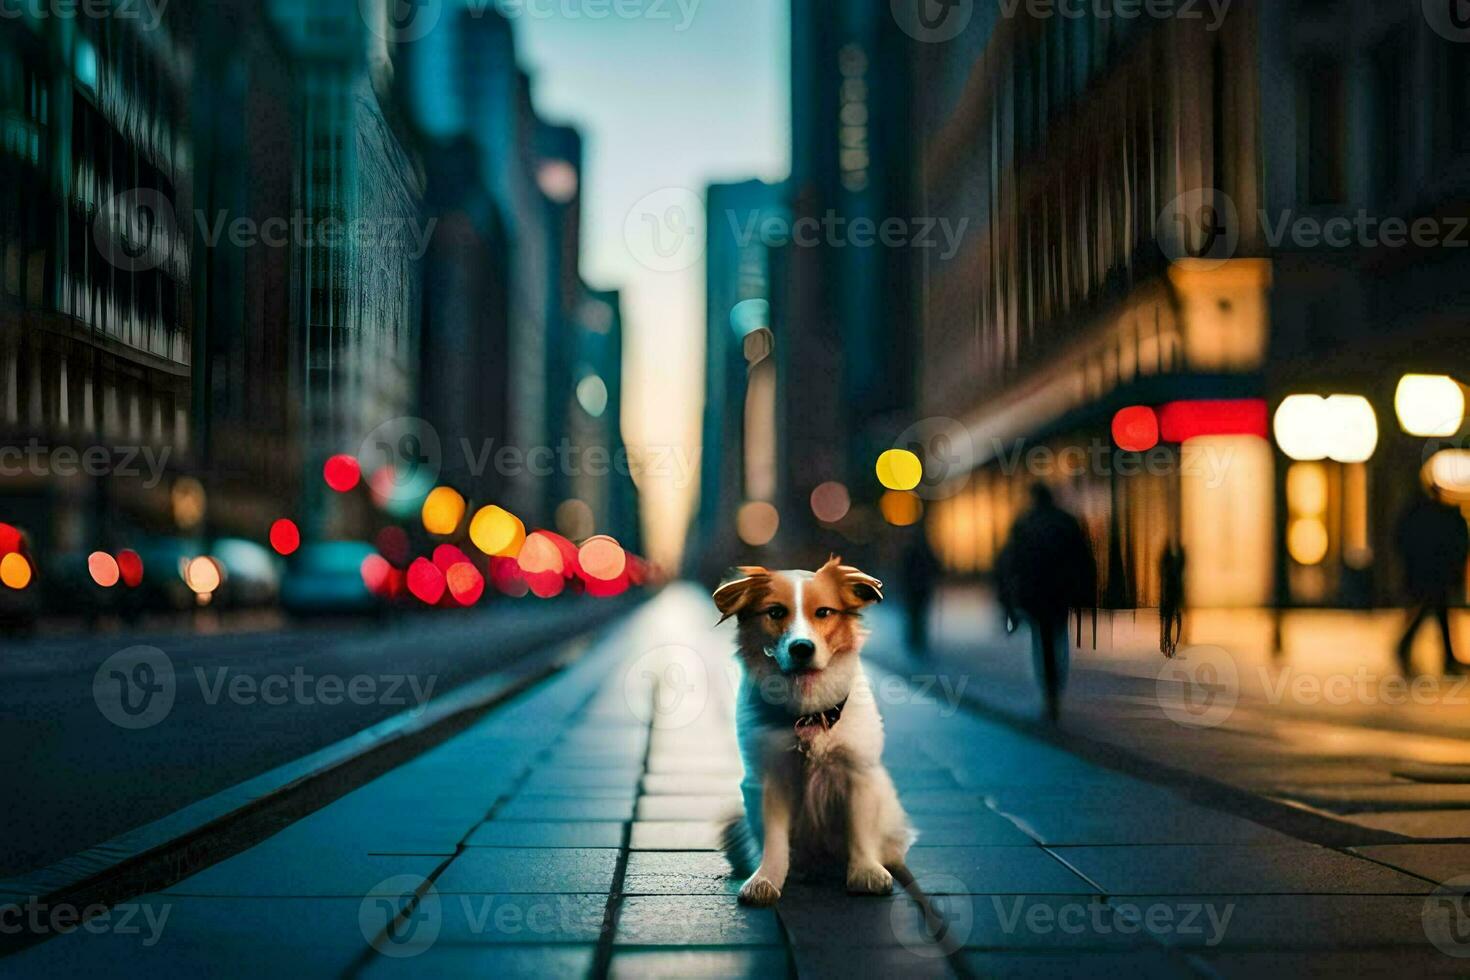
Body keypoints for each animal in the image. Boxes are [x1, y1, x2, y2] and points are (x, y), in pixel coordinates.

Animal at [708, 555, 905, 910]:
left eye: (824, 612)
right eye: (775, 612)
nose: (802, 648)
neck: (808, 711)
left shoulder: (859, 772)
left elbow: (860, 829)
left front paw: (865, 872)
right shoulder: (767, 776)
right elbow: (773, 838)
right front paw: (765, 879)